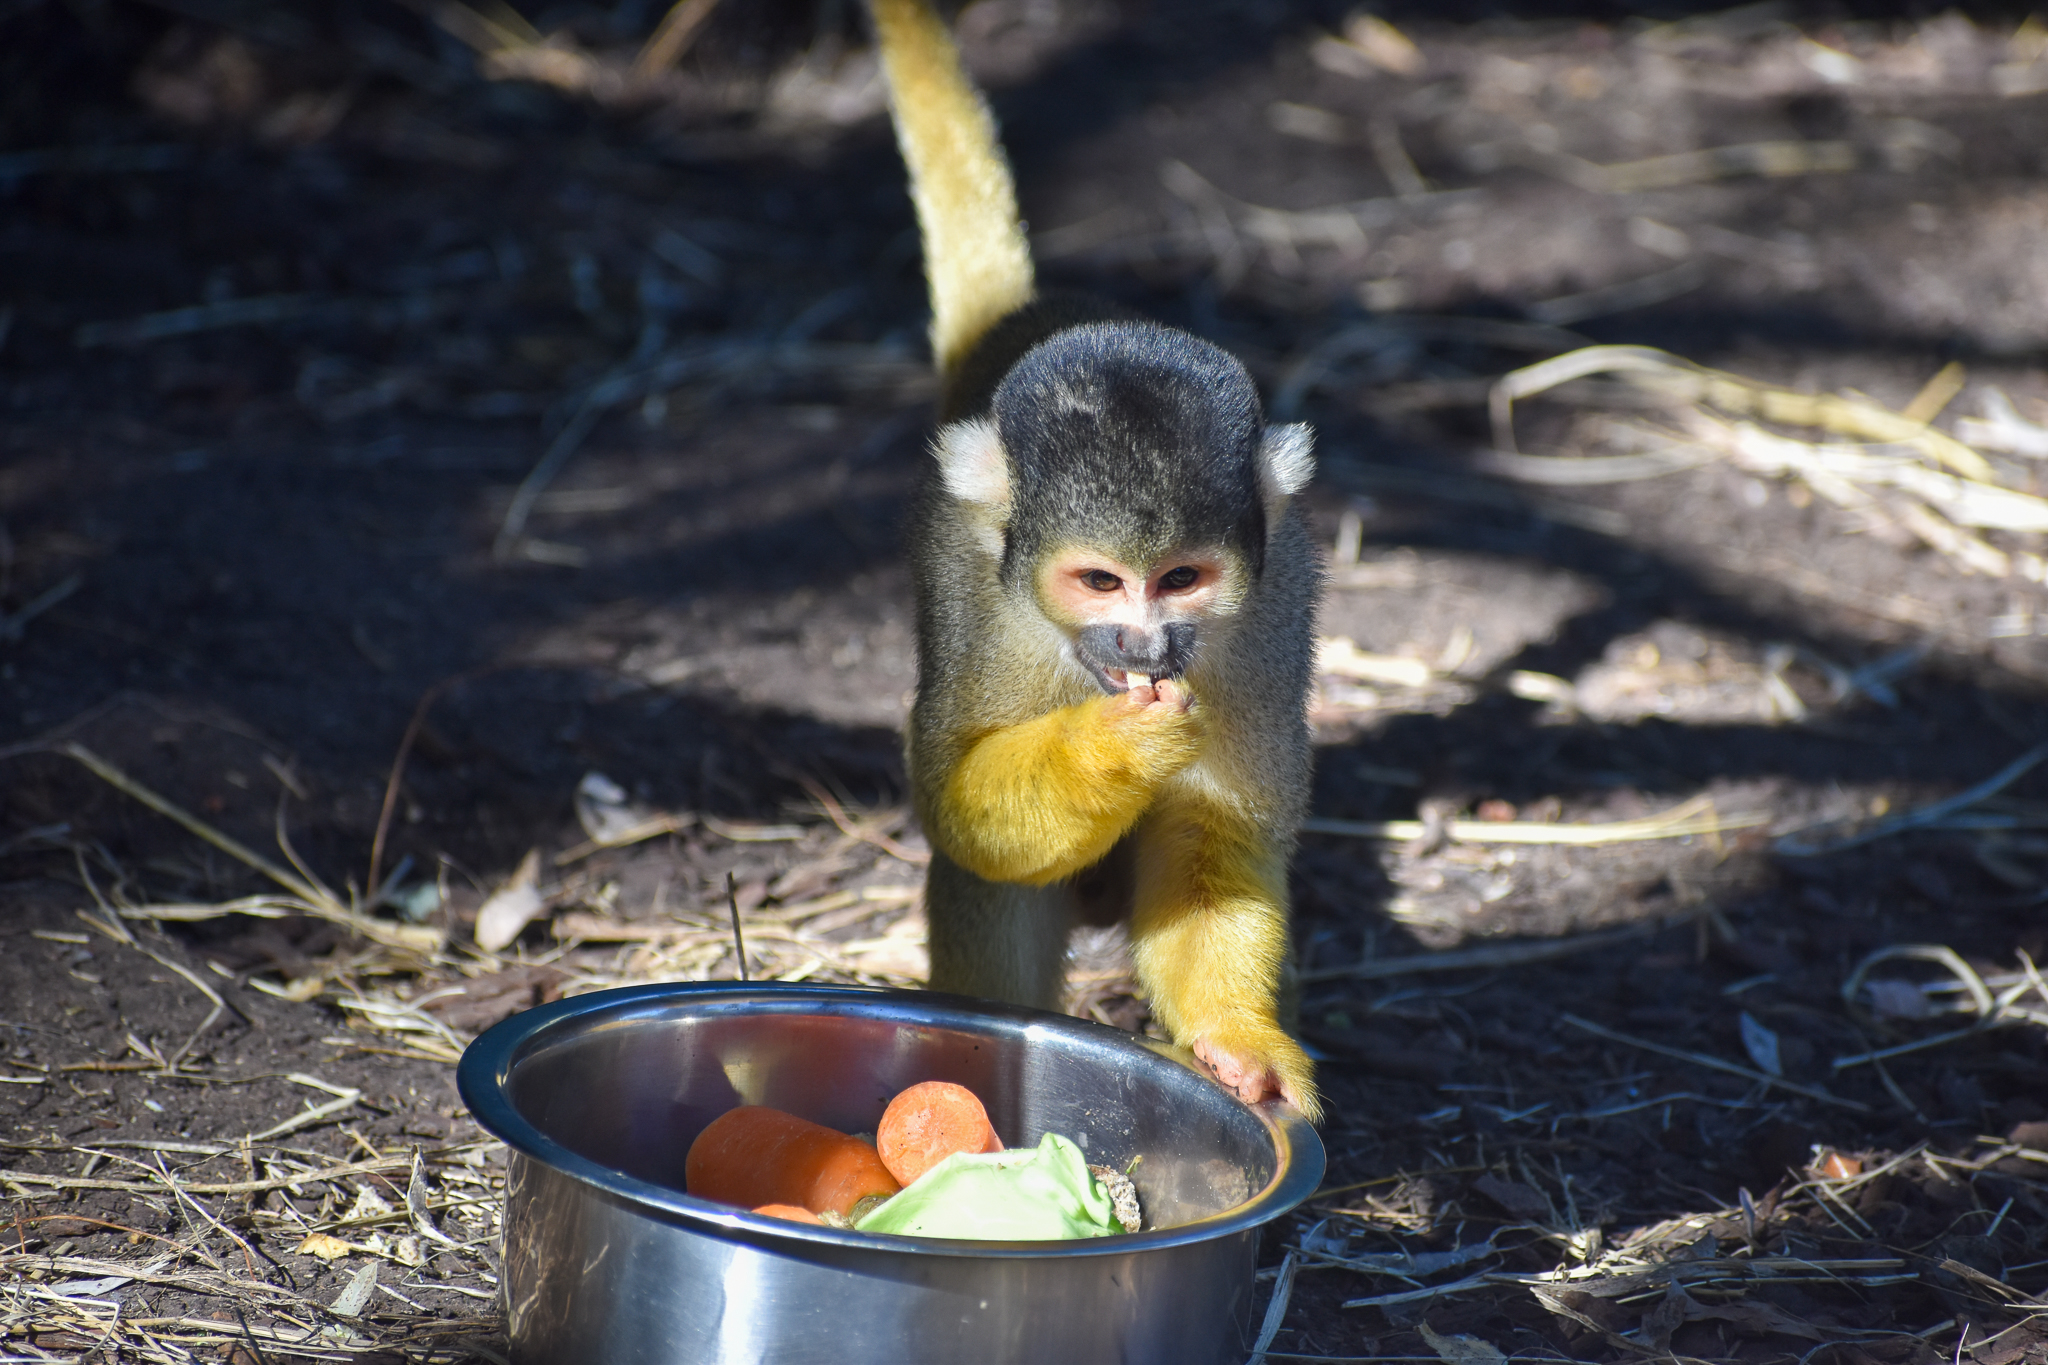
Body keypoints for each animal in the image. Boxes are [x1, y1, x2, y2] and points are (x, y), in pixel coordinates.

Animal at [866, 0, 1323, 1118]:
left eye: (1181, 580)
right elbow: (956, 805)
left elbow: (1220, 834)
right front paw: (1112, 751)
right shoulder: (973, 591)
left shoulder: (1276, 602)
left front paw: (1234, 1038)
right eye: (1101, 582)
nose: (1146, 645)